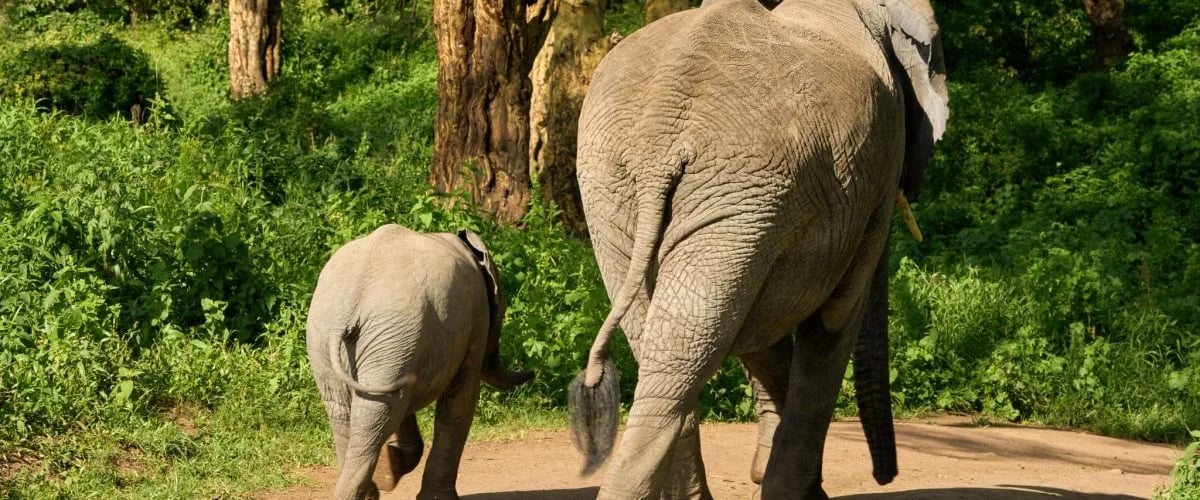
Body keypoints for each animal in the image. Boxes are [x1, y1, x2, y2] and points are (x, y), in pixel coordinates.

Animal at [306, 224, 533, 500]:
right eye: (503, 310)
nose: (532, 372)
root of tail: (352, 299)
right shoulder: (476, 320)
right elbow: (460, 402)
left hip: (345, 338)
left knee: (351, 409)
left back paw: (378, 477)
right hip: (386, 335)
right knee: (379, 411)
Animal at [566, 0, 948, 498]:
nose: (885, 477)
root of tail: (662, 122)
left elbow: (758, 327)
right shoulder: (875, 174)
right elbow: (834, 320)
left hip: (628, 188)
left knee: (671, 343)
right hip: (733, 187)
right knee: (689, 344)